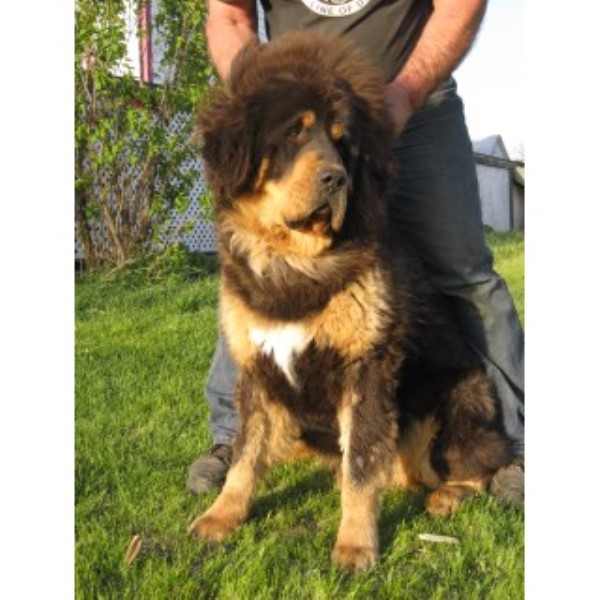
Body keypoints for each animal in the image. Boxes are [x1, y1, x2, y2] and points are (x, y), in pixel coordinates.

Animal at [190, 29, 512, 572]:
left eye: (342, 141)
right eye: (293, 134)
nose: (336, 178)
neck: (294, 262)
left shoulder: (366, 367)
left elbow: (362, 462)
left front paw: (355, 545)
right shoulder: (256, 369)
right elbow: (245, 455)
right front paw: (222, 516)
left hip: (456, 400)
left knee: (480, 463)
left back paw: (449, 494)